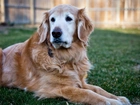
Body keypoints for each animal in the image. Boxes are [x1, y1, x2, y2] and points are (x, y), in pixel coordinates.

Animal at [0, 4, 131, 105]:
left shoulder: (80, 81)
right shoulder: (55, 88)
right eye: (52, 19)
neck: (65, 58)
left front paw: (118, 98)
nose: (55, 33)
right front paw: (112, 102)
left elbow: (98, 88)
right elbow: (86, 93)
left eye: (68, 18)